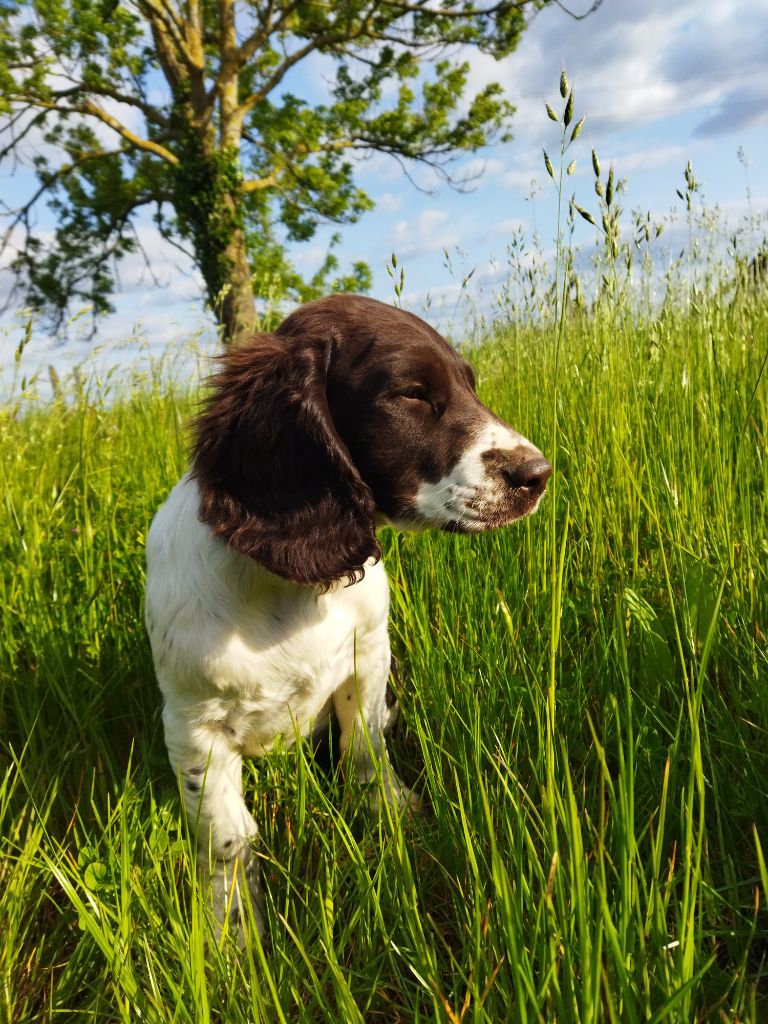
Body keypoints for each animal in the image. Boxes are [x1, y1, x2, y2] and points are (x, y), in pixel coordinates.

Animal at [144, 292, 552, 937]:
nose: (538, 475)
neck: (292, 589)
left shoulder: (370, 655)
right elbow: (227, 838)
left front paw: (395, 816)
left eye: (469, 384)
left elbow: (365, 746)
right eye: (412, 394)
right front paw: (234, 931)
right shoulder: (192, 726)